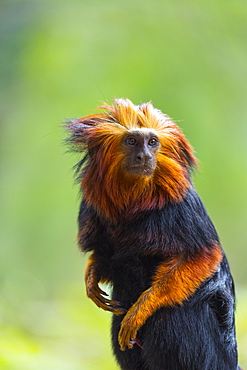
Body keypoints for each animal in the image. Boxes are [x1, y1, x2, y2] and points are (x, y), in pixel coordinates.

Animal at [65, 98, 239, 370]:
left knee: (171, 316)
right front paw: (92, 276)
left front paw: (141, 311)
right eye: (132, 141)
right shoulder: (92, 207)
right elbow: (104, 255)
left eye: (152, 142)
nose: (144, 156)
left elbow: (202, 258)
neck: (133, 198)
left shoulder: (183, 206)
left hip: (210, 356)